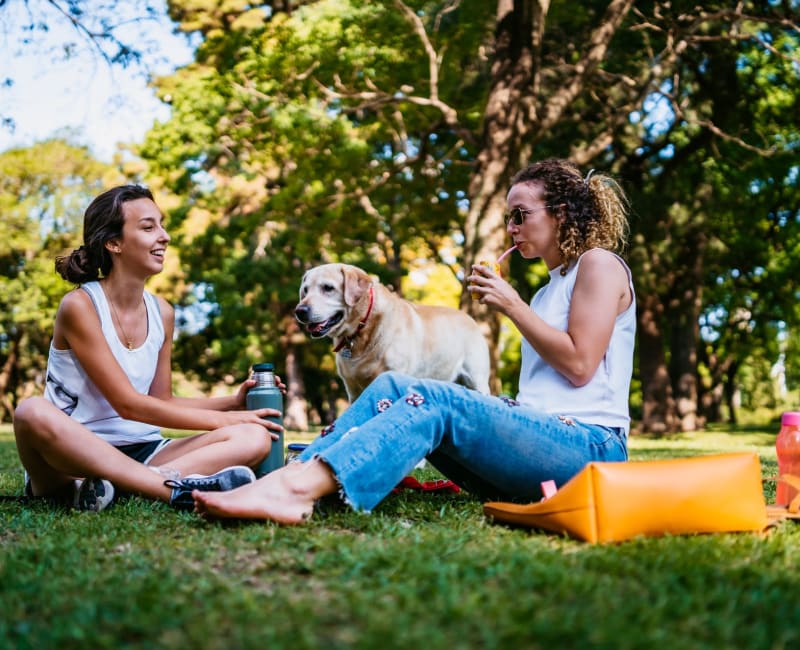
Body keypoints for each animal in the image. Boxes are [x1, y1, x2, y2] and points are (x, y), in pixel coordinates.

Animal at [296, 260, 490, 398]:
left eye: (328, 288)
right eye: (305, 290)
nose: (300, 311)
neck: (362, 330)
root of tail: (469, 318)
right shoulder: (352, 389)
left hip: (477, 379)